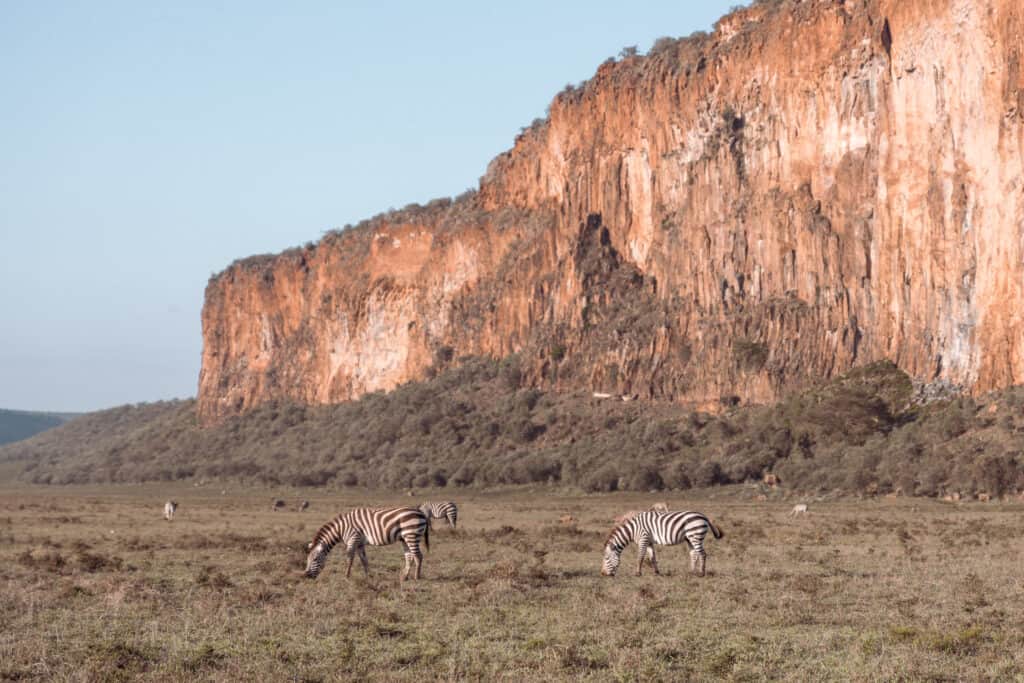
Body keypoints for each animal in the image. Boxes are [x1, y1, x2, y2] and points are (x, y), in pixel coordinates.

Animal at [303, 507, 432, 581]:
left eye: (315, 559)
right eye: (307, 560)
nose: (306, 576)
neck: (341, 529)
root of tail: (421, 512)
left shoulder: (353, 539)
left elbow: (349, 559)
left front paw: (346, 576)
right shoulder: (359, 543)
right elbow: (364, 560)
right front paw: (368, 576)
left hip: (411, 534)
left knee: (418, 556)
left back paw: (416, 577)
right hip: (404, 538)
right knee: (409, 556)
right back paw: (405, 577)